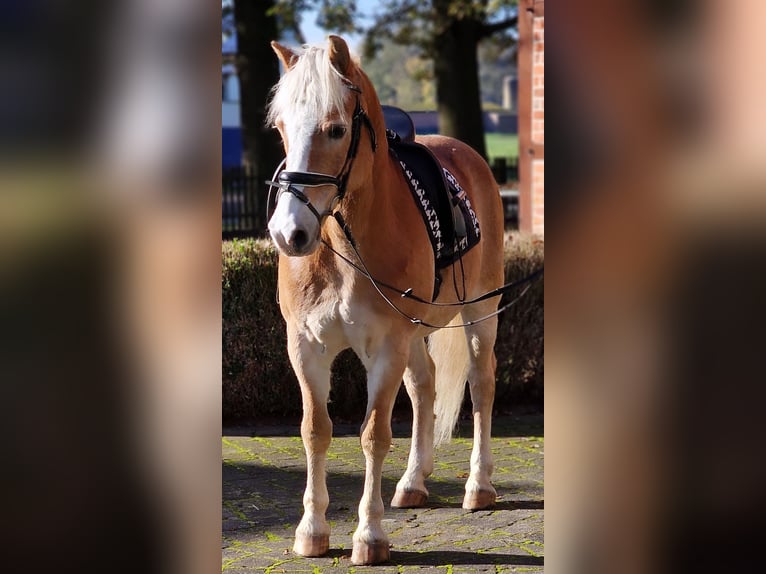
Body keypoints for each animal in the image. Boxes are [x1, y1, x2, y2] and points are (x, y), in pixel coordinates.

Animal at [268, 35, 508, 568]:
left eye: (336, 129)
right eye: (280, 128)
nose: (289, 233)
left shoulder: (385, 348)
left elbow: (374, 434)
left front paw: (370, 535)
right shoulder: (306, 348)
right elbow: (315, 430)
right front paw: (311, 530)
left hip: (480, 311)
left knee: (480, 385)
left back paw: (478, 486)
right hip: (414, 334)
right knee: (424, 386)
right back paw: (414, 482)